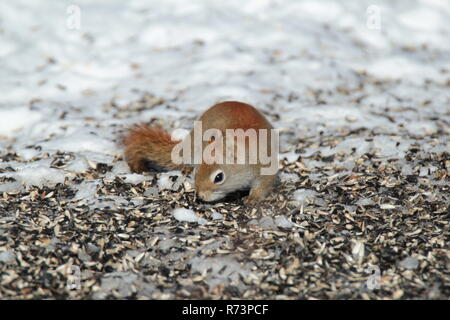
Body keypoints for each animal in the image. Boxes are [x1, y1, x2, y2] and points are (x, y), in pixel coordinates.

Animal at [124, 101, 278, 204]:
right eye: (197, 171)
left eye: (218, 177)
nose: (201, 196)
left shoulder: (266, 166)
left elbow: (264, 185)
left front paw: (253, 197)